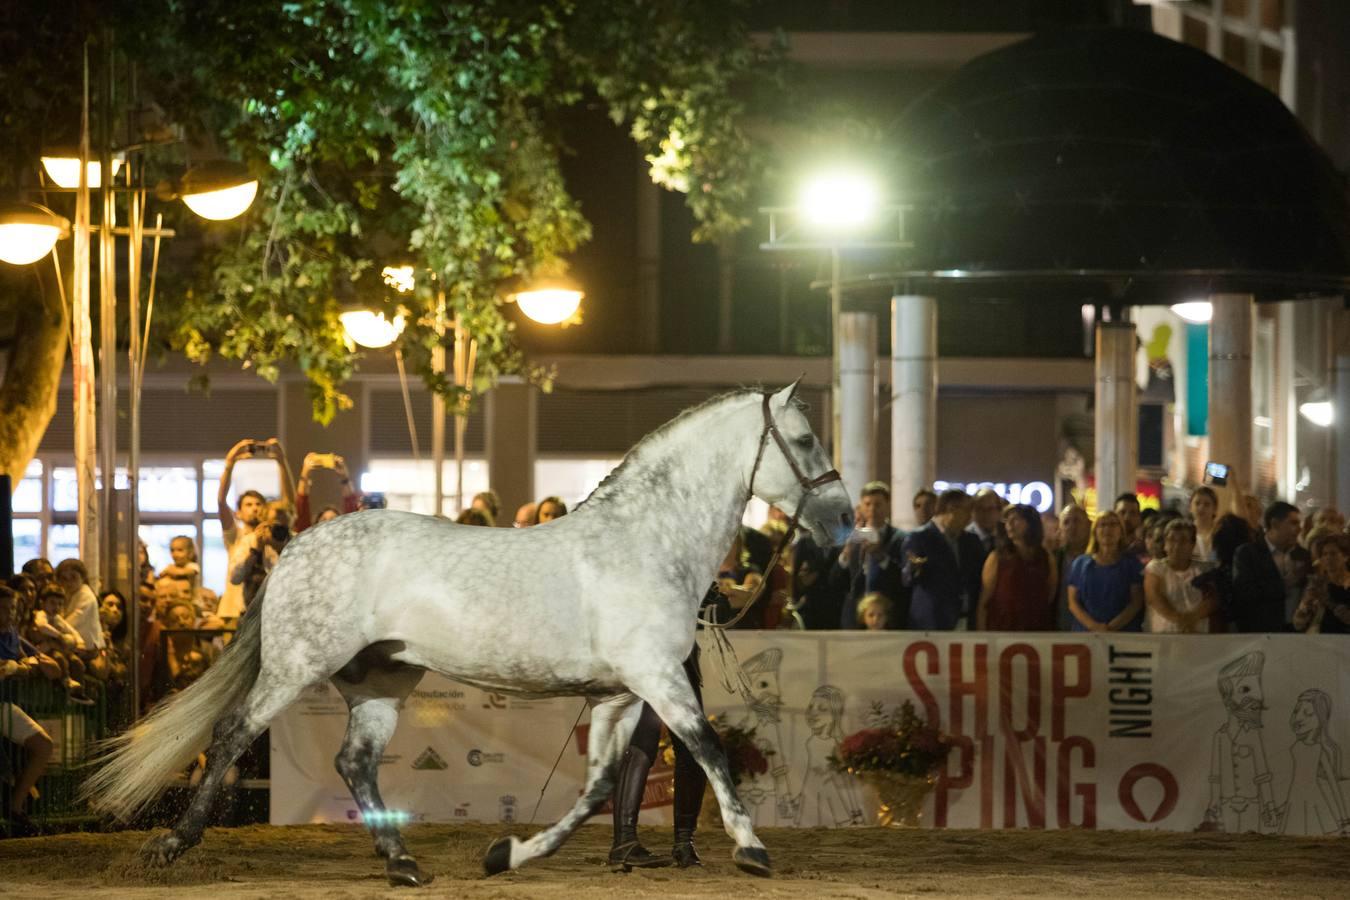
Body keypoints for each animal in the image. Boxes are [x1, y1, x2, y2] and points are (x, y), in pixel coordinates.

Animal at [81, 383, 853, 885]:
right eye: (805, 439)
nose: (844, 520)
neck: (643, 542)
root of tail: (295, 543)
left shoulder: (619, 694)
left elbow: (601, 787)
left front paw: (509, 855)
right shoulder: (657, 679)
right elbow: (711, 749)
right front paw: (752, 850)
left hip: (381, 683)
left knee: (353, 763)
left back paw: (402, 864)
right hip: (296, 667)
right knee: (231, 735)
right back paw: (172, 847)